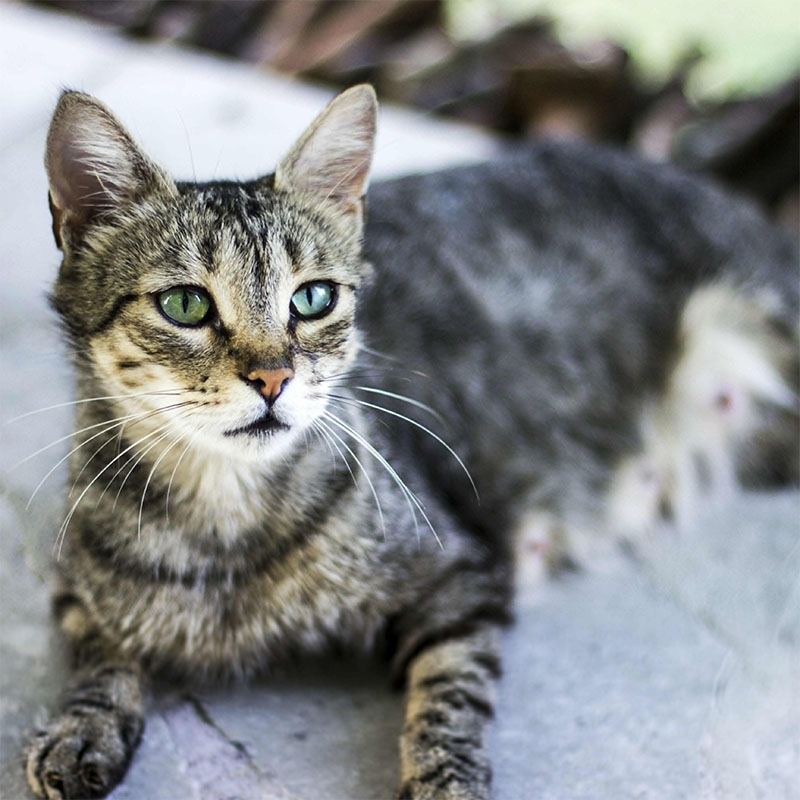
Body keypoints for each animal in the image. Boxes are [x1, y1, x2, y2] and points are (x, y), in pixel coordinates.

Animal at [25, 84, 792, 796]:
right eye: (185, 304)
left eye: (312, 299)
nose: (273, 377)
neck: (227, 529)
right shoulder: (75, 582)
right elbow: (100, 656)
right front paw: (80, 729)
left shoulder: (463, 574)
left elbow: (448, 698)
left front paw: (445, 780)